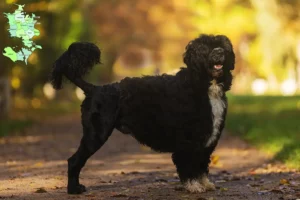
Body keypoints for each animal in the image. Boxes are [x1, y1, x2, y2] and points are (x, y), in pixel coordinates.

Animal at [50, 34, 236, 194]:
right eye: (204, 47)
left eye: (222, 46)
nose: (219, 52)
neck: (204, 85)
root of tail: (94, 88)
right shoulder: (188, 141)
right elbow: (189, 166)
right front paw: (194, 186)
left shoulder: (207, 139)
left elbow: (201, 165)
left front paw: (205, 184)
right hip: (96, 134)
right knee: (73, 161)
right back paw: (74, 189)